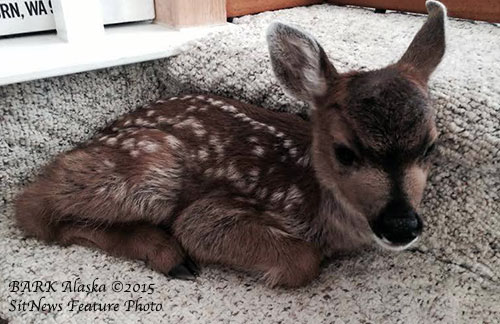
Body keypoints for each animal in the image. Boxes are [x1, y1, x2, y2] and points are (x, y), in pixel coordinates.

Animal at [14, 1, 446, 288]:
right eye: (344, 151)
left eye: (430, 147)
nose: (401, 225)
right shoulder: (214, 212)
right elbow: (302, 262)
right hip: (152, 169)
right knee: (32, 207)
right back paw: (170, 256)